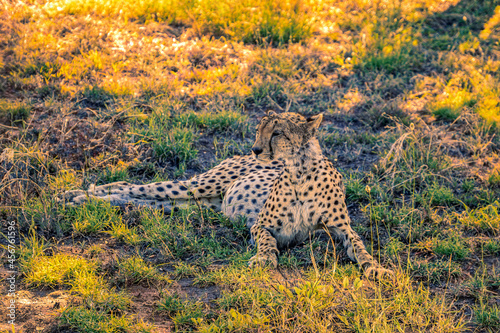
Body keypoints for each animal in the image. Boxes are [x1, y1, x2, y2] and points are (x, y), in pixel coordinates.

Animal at [63, 110, 390, 276]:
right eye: (260, 130)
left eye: (277, 132)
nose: (256, 149)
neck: (299, 171)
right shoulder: (261, 225)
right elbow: (268, 241)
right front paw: (264, 259)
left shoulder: (340, 228)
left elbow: (360, 246)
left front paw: (376, 268)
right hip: (197, 186)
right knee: (131, 187)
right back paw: (75, 196)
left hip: (191, 204)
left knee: (137, 198)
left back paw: (89, 200)